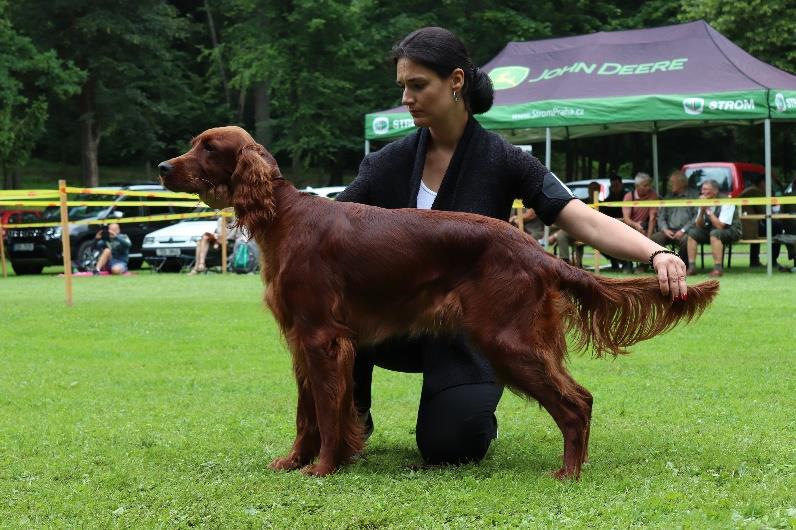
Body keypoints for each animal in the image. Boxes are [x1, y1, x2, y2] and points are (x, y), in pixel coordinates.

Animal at [159, 126, 720, 476]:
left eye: (209, 147)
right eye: (194, 144)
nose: (163, 167)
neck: (284, 216)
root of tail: (534, 250)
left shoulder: (323, 339)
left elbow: (326, 410)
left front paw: (323, 469)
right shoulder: (303, 342)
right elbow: (306, 414)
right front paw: (295, 461)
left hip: (507, 341)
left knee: (576, 401)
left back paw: (569, 473)